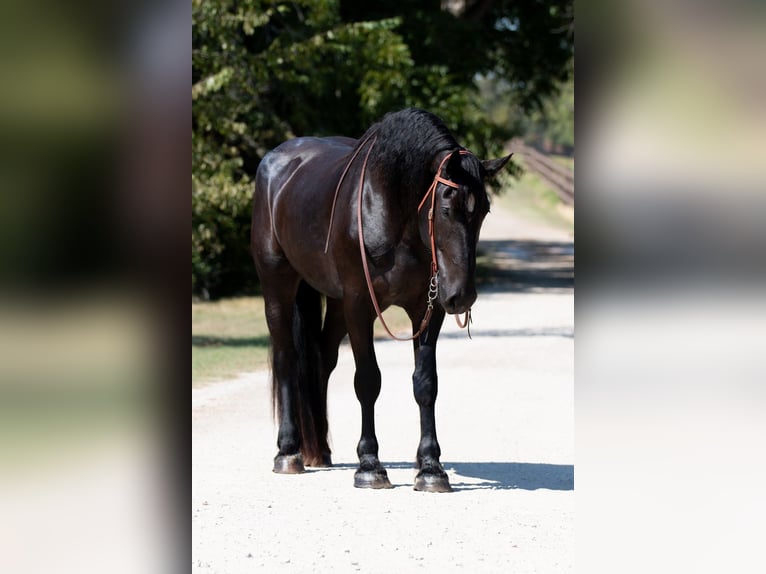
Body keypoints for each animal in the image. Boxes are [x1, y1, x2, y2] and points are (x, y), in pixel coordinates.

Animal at [252, 107, 512, 490]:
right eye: (446, 210)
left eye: (484, 212)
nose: (462, 295)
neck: (391, 210)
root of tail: (275, 161)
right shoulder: (361, 306)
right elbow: (367, 381)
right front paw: (370, 465)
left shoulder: (427, 309)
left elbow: (426, 383)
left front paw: (431, 467)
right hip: (278, 287)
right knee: (287, 358)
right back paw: (288, 452)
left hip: (336, 304)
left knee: (322, 360)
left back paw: (320, 451)